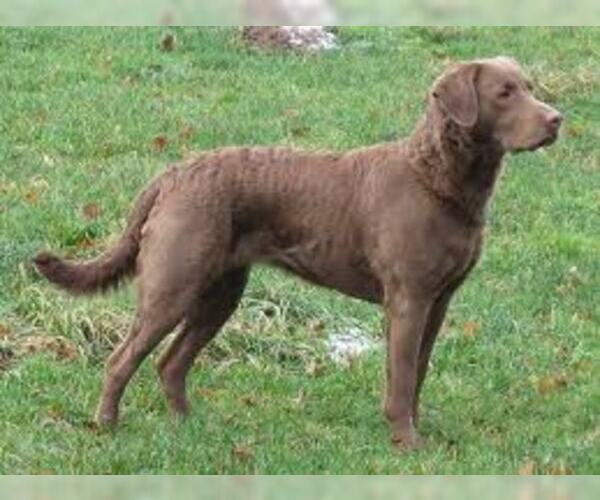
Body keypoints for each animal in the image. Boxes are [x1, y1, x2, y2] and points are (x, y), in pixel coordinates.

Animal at [35, 56, 560, 448]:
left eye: (529, 87)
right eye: (504, 93)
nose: (557, 119)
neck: (435, 178)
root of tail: (173, 174)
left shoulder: (439, 301)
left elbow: (417, 371)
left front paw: (412, 429)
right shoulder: (408, 298)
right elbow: (403, 374)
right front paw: (406, 442)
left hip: (220, 293)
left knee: (170, 363)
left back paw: (190, 426)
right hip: (173, 285)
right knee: (122, 359)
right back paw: (106, 426)